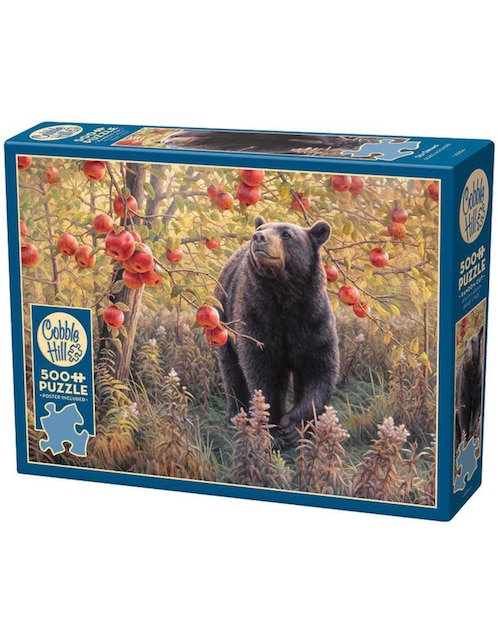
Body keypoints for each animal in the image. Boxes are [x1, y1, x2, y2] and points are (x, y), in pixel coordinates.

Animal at [214, 215, 340, 450]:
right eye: (263, 228)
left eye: (287, 234)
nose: (258, 237)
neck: (284, 292)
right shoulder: (257, 319)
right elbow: (262, 374)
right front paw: (272, 432)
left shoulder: (312, 321)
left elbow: (319, 370)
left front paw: (293, 427)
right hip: (224, 318)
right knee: (231, 367)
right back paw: (236, 412)